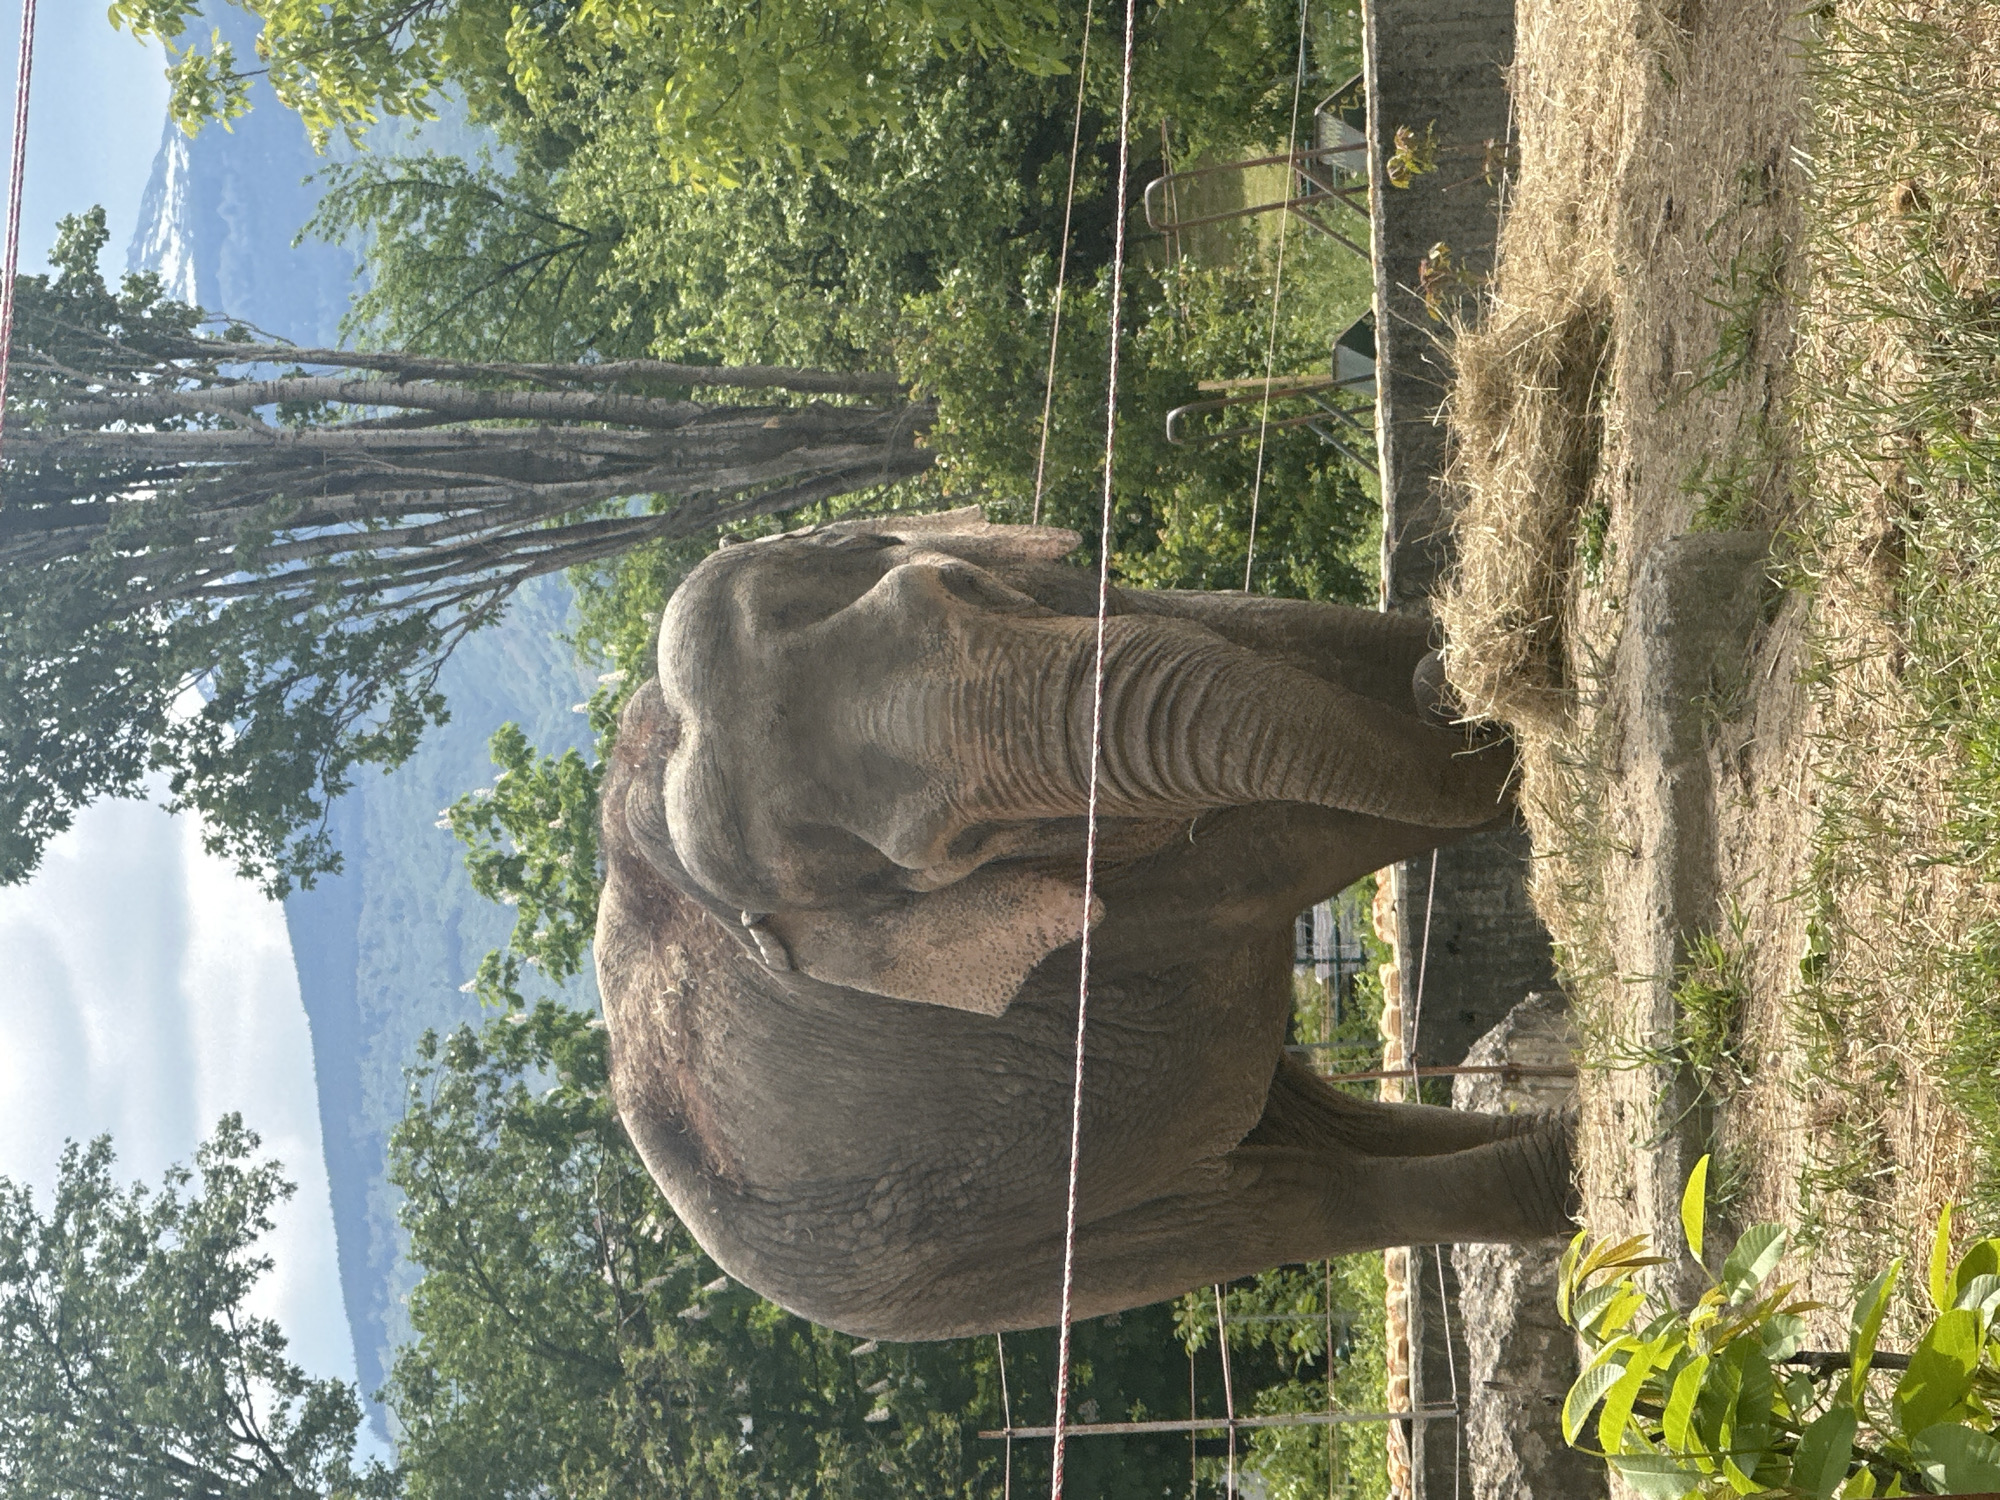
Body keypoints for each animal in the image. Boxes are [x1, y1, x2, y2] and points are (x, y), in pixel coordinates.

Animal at [594, 507, 1574, 1342]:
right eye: (955, 849)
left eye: (965, 581)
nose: (1450, 676)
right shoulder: (1128, 907)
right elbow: (1308, 840)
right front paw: (1475, 706)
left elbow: (1309, 639)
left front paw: (1455, 665)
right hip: (974, 1265)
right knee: (1291, 1204)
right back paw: (1573, 1179)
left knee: (1305, 1123)